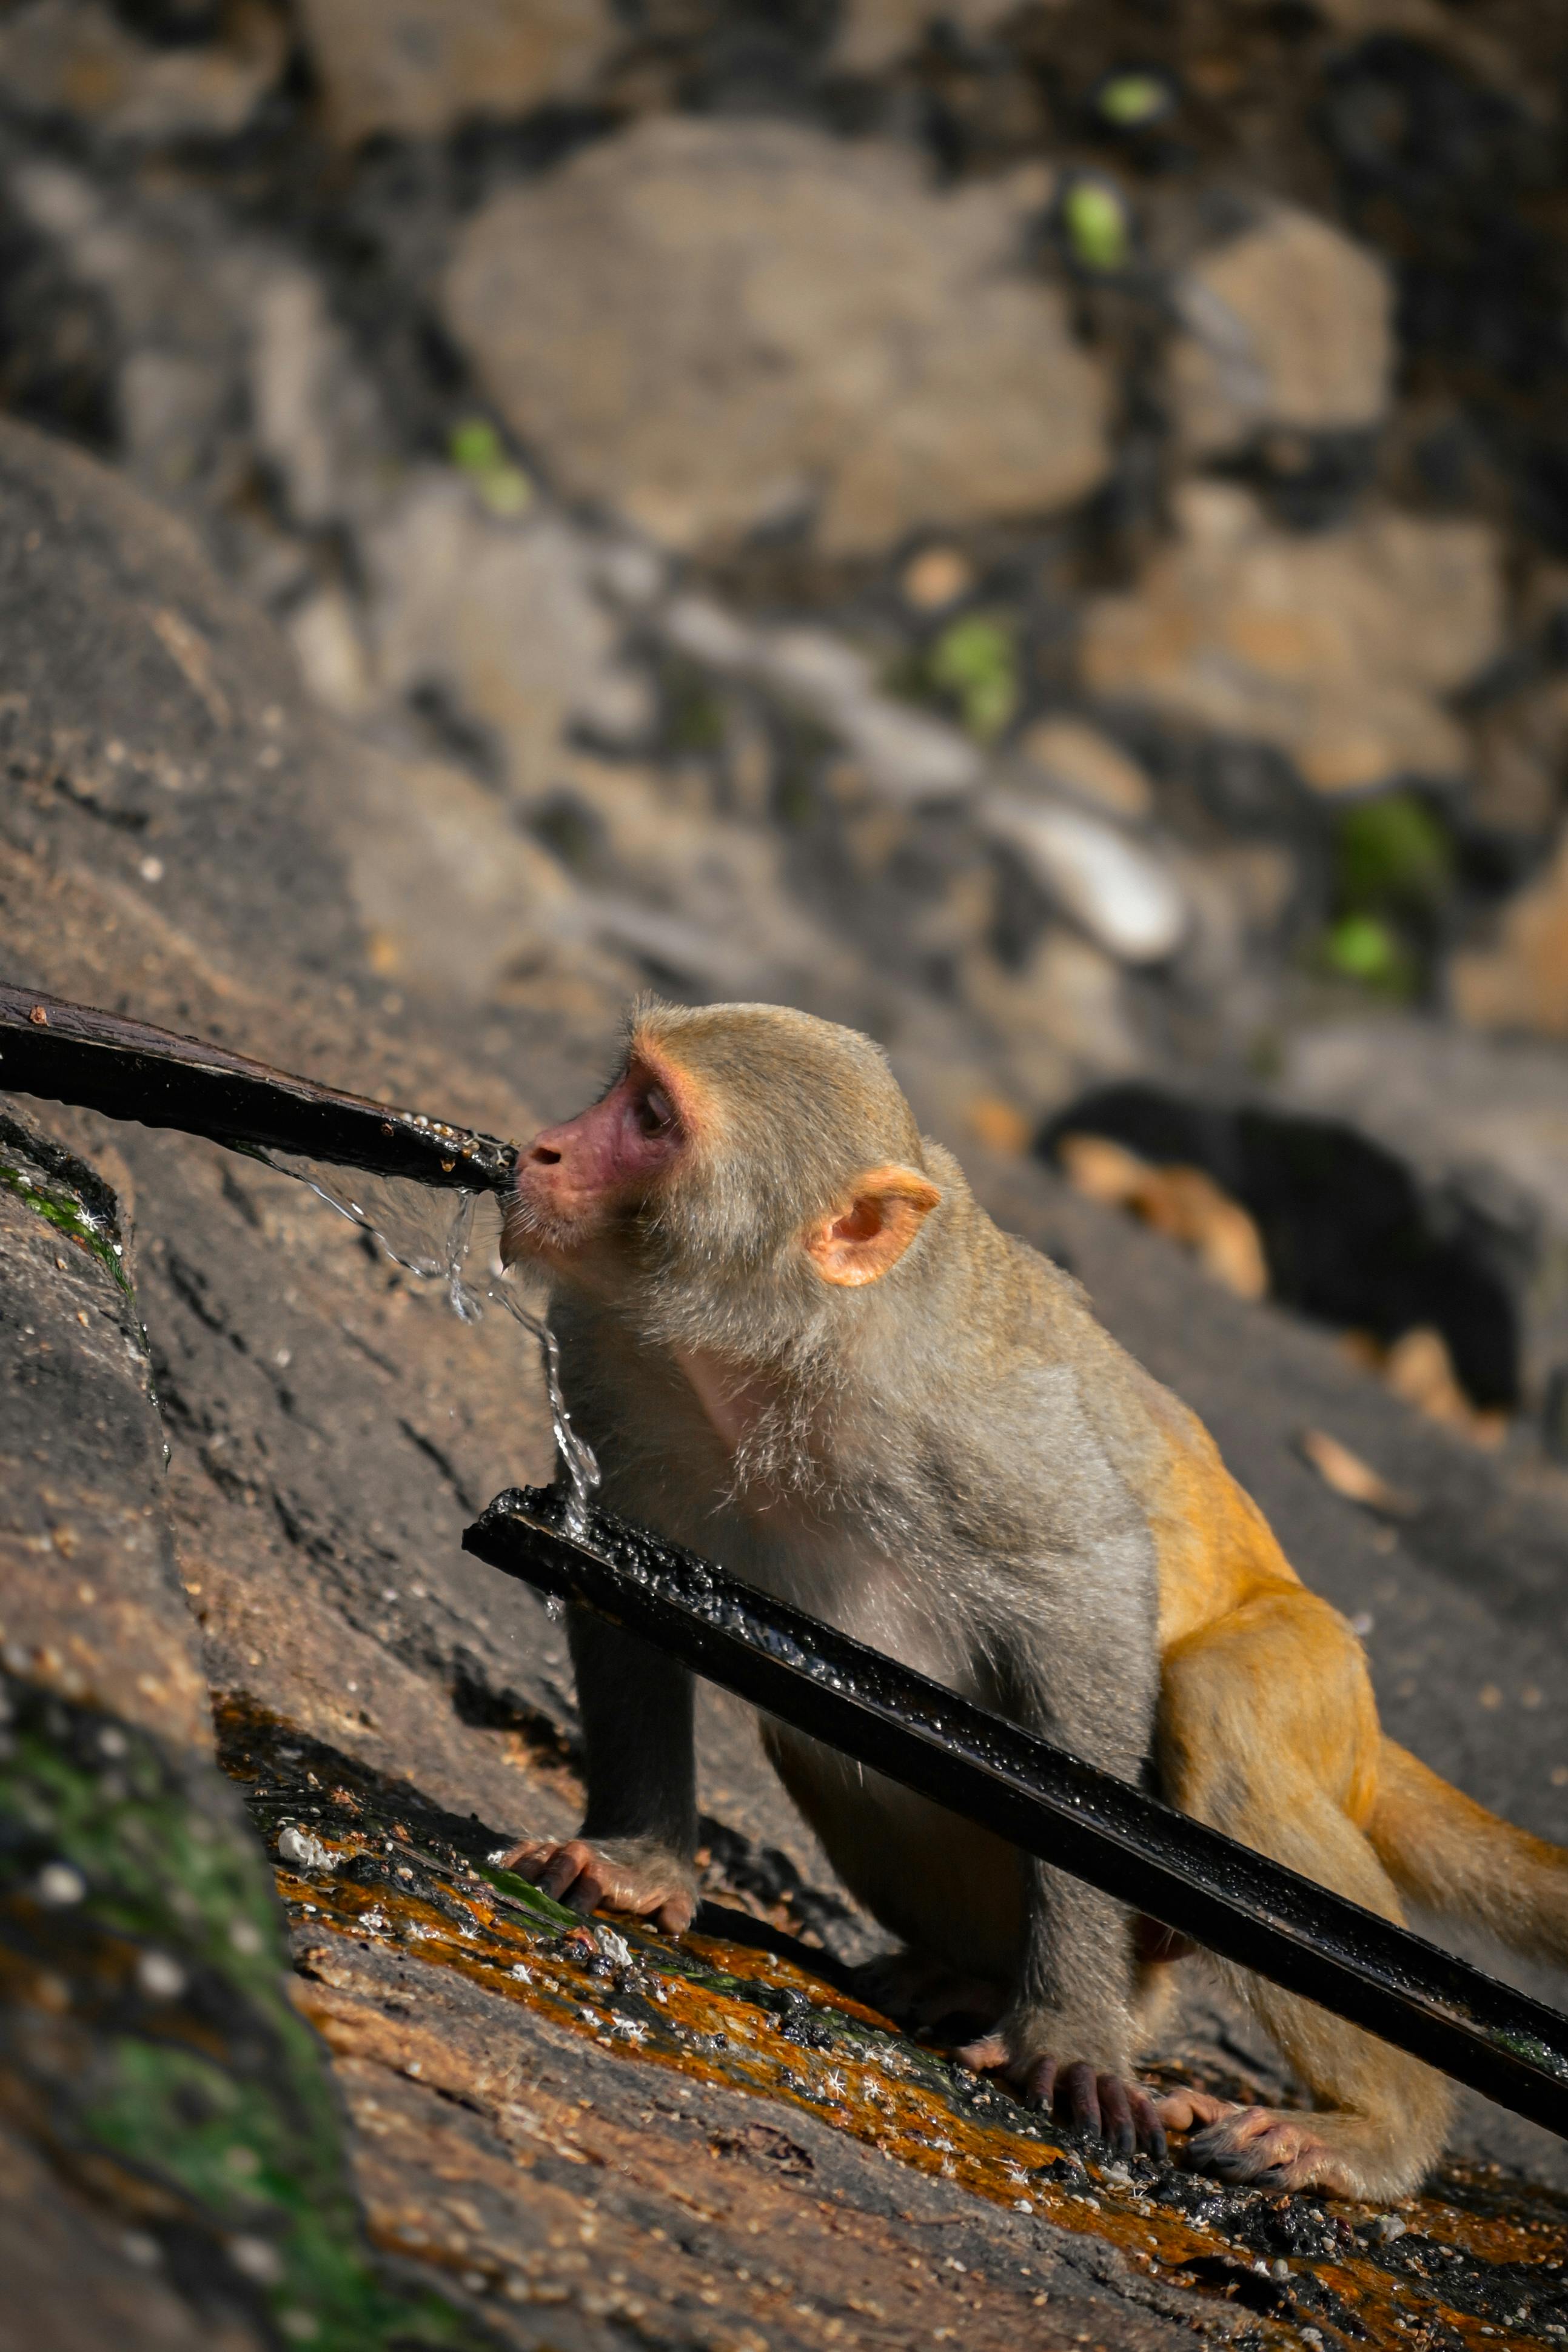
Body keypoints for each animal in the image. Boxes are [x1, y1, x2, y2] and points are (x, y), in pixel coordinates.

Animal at [495, 998, 1568, 2201]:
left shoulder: (971, 1423)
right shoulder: (612, 1343)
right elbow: (613, 1561)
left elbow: (1087, 1604)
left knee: (1217, 1707)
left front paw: (1067, 2031)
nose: (546, 1147)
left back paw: (1372, 2125)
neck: (774, 1345)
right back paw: (973, 1978)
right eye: (623, 1086)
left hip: (1318, 1666)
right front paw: (636, 1861)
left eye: (650, 1118)